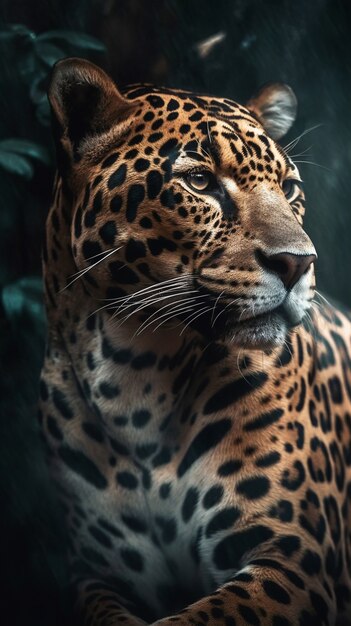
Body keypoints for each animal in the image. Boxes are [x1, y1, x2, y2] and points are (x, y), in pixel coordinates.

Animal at [38, 56, 351, 620]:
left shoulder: (295, 561)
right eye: (201, 182)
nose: (299, 263)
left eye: (290, 189)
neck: (134, 377)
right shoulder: (98, 574)